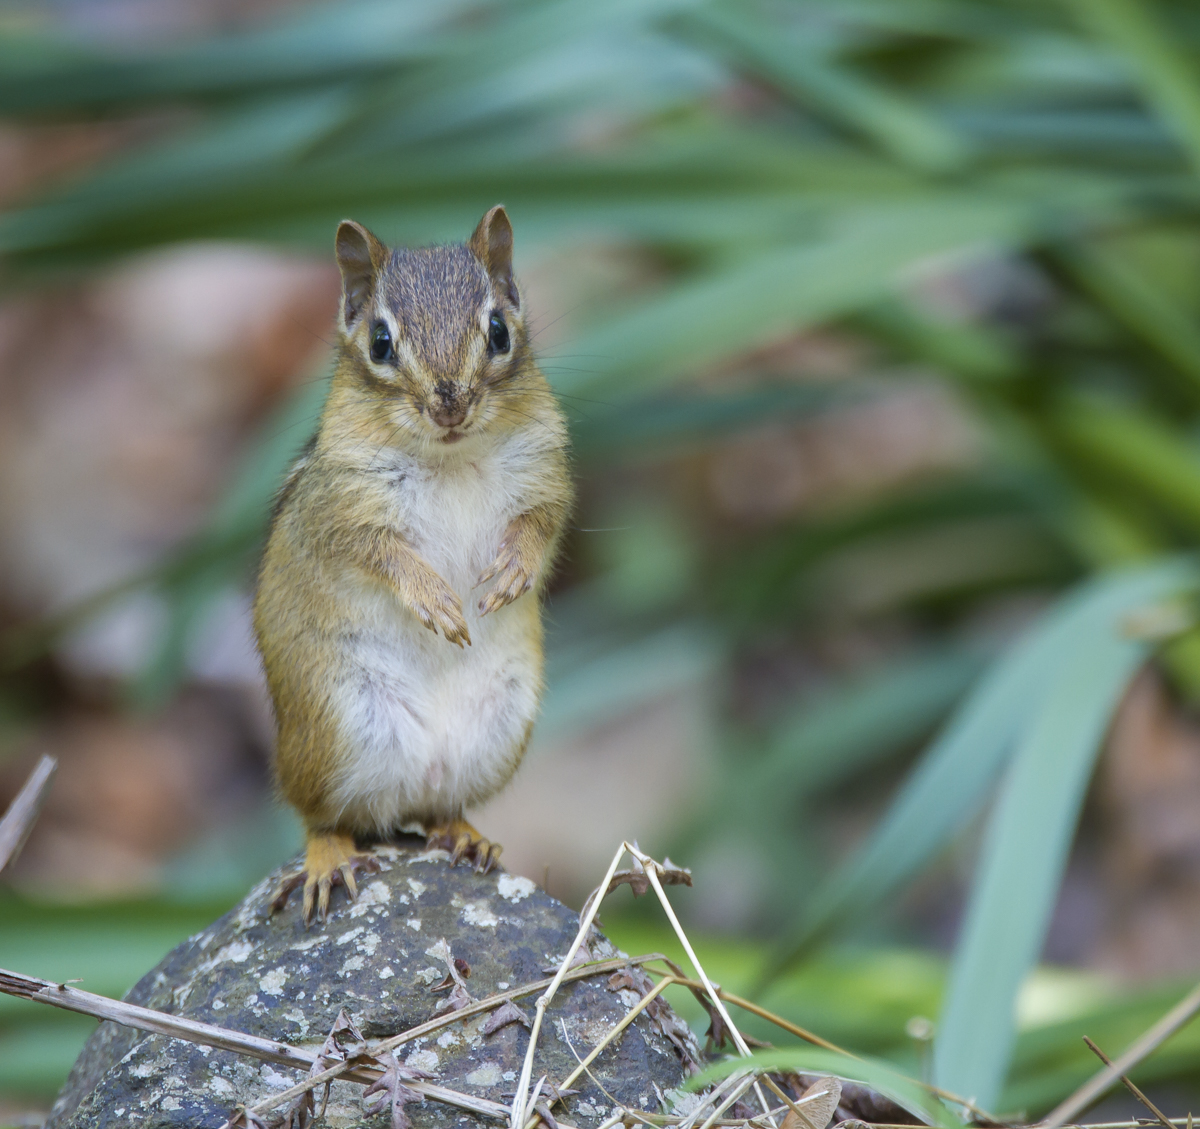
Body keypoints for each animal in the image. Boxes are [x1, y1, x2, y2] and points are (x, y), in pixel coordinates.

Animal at [254, 206, 572, 923]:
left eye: (498, 330)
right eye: (380, 343)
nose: (450, 401)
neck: (450, 456)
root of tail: (403, 794)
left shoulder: (547, 474)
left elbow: (540, 527)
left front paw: (513, 572)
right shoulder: (344, 507)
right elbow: (379, 552)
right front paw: (433, 598)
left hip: (499, 729)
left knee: (439, 809)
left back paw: (466, 834)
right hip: (333, 727)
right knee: (321, 816)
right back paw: (330, 859)